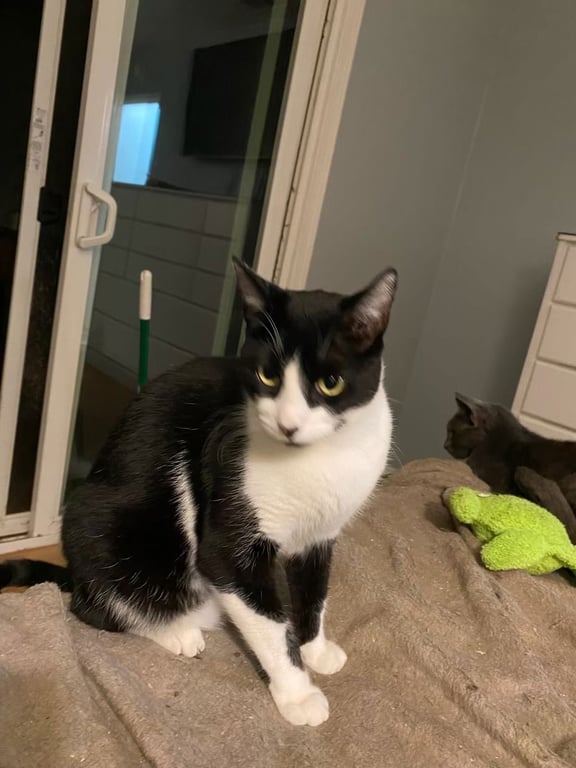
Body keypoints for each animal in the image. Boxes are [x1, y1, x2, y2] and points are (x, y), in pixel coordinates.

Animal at [0, 259, 397, 727]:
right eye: (267, 375)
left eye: (330, 383)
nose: (288, 425)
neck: (319, 458)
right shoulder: (228, 540)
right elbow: (268, 619)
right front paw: (298, 693)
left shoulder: (320, 535)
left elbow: (314, 594)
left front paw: (315, 650)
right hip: (97, 523)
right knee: (93, 607)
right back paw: (176, 631)